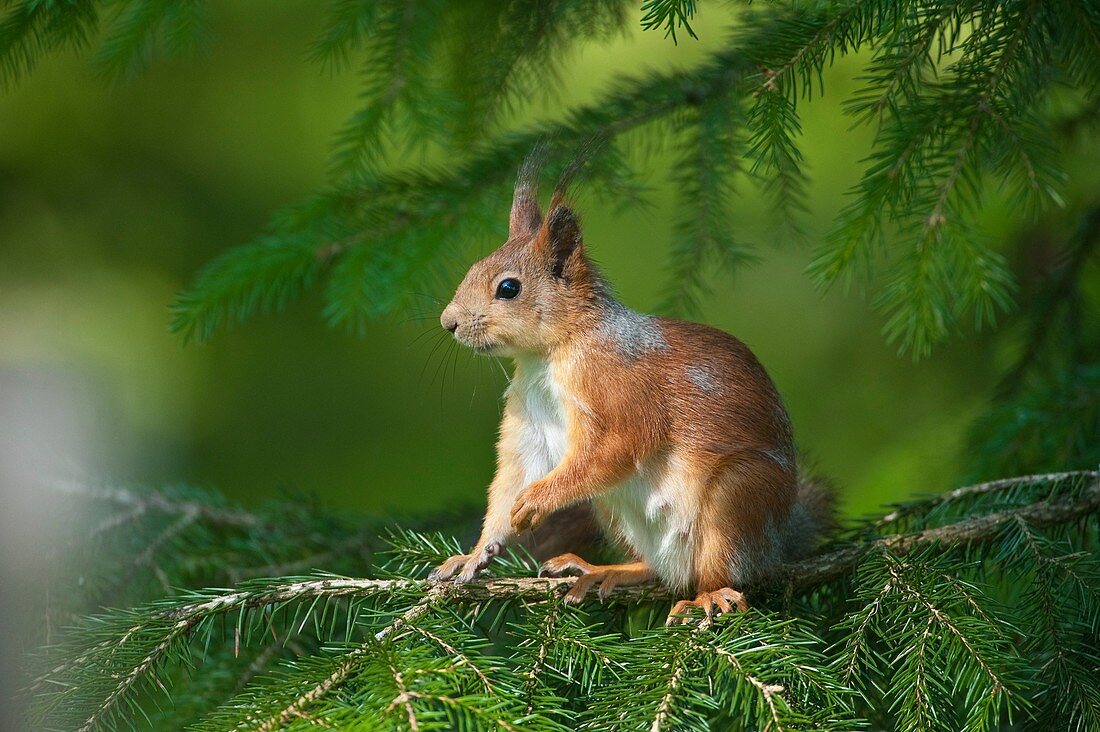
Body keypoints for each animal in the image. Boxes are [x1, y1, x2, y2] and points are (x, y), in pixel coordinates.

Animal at [431, 164, 831, 616]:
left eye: (508, 288)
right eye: (472, 268)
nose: (448, 322)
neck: (548, 356)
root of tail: (777, 546)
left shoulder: (619, 388)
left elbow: (619, 447)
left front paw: (537, 499)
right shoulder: (528, 420)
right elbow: (513, 476)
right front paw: (476, 554)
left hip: (736, 499)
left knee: (722, 573)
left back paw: (707, 597)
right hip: (610, 509)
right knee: (656, 570)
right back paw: (603, 570)